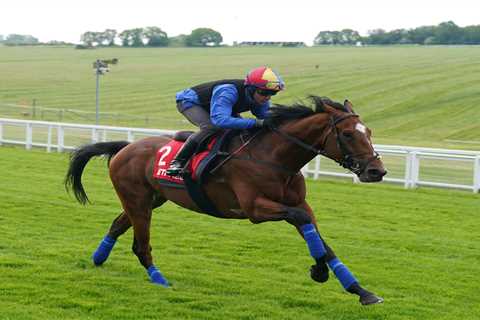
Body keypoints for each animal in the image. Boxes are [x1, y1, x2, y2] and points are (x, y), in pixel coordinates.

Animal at [64, 96, 386, 306]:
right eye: (348, 134)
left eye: (369, 132)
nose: (377, 171)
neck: (274, 157)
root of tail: (126, 146)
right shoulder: (255, 208)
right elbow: (303, 221)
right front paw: (319, 272)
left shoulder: (299, 204)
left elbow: (321, 241)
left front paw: (360, 290)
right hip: (139, 201)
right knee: (140, 245)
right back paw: (159, 279)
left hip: (149, 199)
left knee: (117, 225)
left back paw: (98, 259)